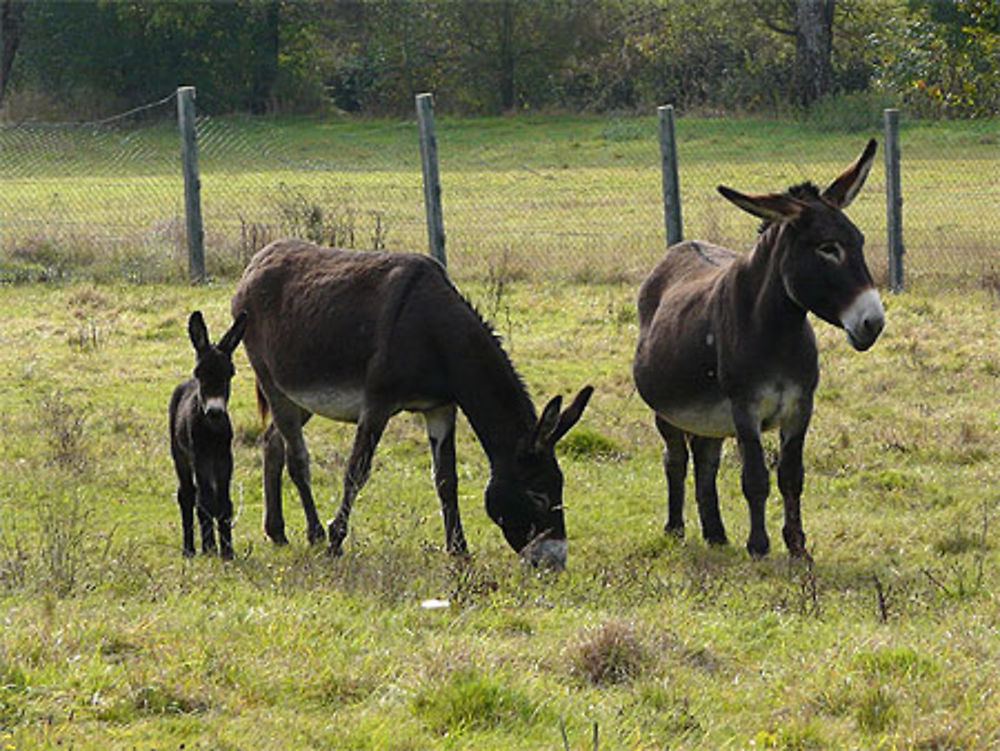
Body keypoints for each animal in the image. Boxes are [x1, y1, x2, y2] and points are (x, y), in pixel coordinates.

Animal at [168, 310, 246, 560]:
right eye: (200, 373)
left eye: (230, 373)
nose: (214, 411)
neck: (211, 431)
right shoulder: (199, 457)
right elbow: (205, 503)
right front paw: (211, 548)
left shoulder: (224, 458)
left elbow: (224, 504)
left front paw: (228, 551)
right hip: (180, 455)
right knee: (187, 494)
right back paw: (189, 549)